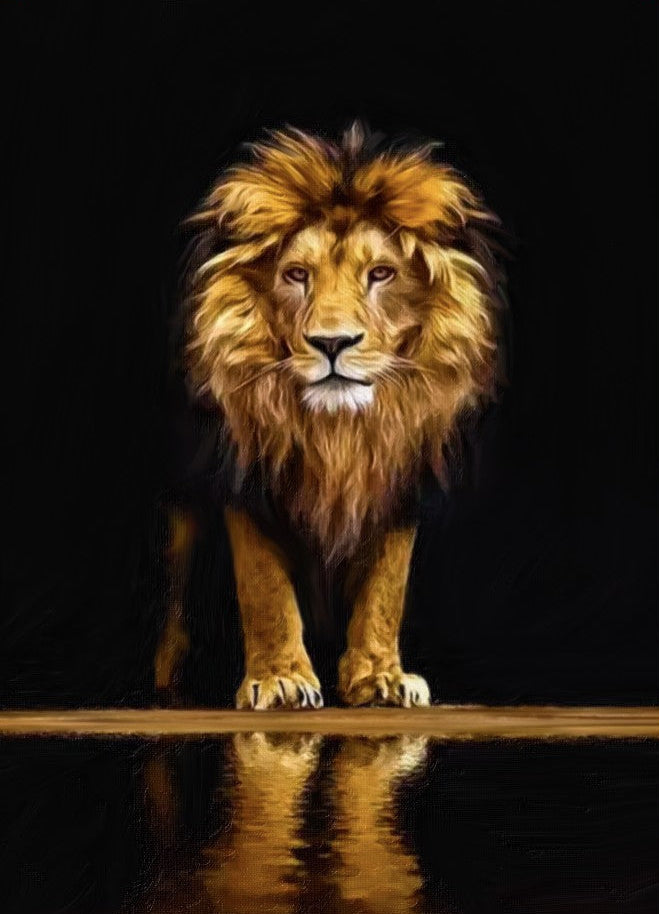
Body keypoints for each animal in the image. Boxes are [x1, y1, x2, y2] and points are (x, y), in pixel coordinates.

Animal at [156, 122, 504, 710]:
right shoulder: (245, 477)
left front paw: (380, 676)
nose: (332, 343)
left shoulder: (397, 478)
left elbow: (387, 586)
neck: (338, 431)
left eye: (381, 273)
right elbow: (264, 586)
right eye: (296, 274)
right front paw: (279, 678)